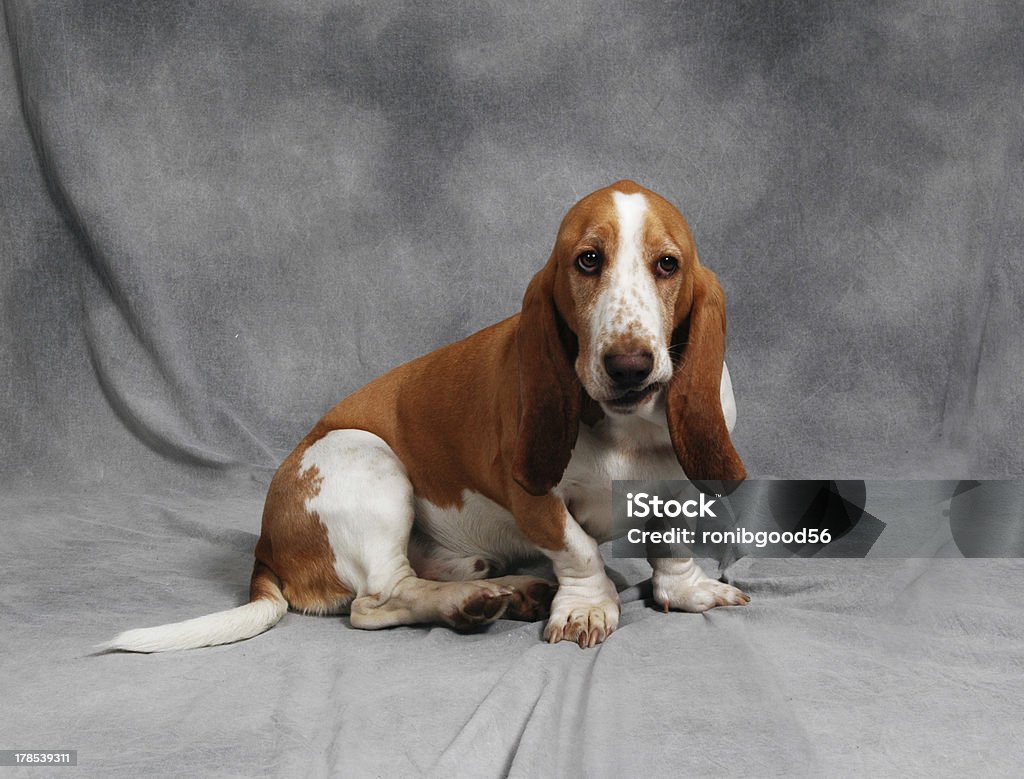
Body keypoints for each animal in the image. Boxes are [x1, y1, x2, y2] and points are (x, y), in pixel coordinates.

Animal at [105, 178, 745, 651]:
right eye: (588, 260)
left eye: (668, 265)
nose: (630, 366)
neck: (626, 430)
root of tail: (266, 548)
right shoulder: (535, 500)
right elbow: (579, 551)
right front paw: (588, 608)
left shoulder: (678, 492)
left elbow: (672, 548)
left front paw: (688, 590)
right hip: (369, 460)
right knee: (377, 599)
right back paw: (473, 604)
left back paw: (506, 585)